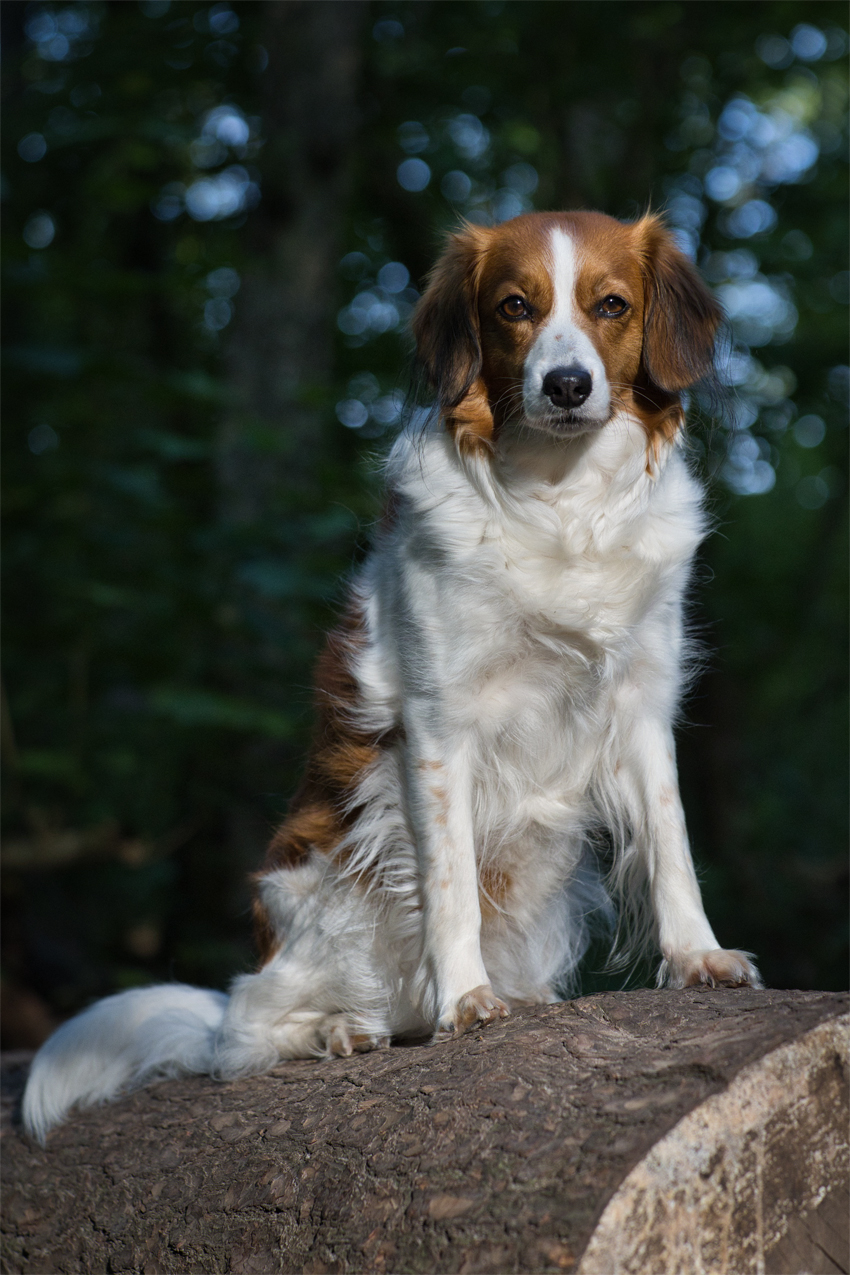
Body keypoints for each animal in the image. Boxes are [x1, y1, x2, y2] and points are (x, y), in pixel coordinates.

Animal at [21, 211, 764, 1147]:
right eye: (514, 306)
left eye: (611, 305)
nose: (565, 385)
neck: (561, 501)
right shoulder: (439, 726)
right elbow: (448, 884)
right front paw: (466, 999)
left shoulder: (641, 706)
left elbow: (672, 845)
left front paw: (697, 954)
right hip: (319, 895)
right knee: (244, 1033)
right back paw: (341, 1028)